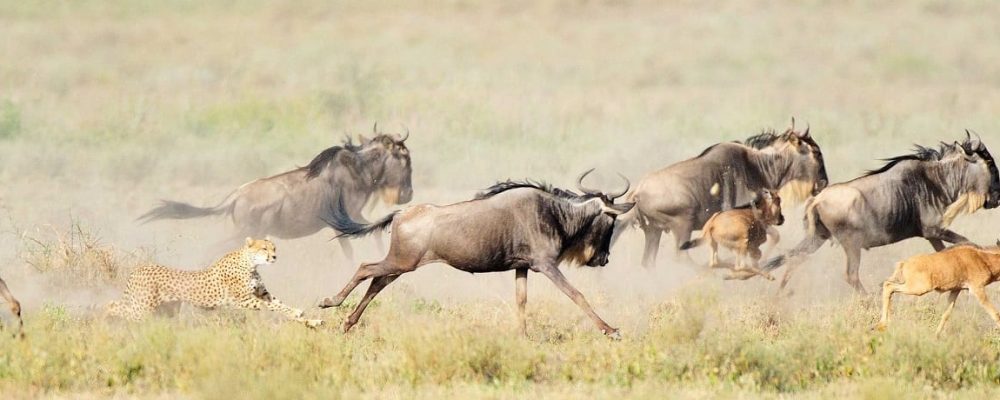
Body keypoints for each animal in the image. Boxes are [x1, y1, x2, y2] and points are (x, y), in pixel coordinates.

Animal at [104, 238, 320, 328]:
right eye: (264, 248)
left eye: (274, 247)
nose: (275, 256)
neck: (250, 263)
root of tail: (138, 269)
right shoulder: (243, 300)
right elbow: (273, 307)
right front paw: (298, 315)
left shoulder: (262, 294)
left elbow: (280, 304)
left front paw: (307, 318)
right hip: (142, 310)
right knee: (112, 305)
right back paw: (104, 320)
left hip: (166, 310)